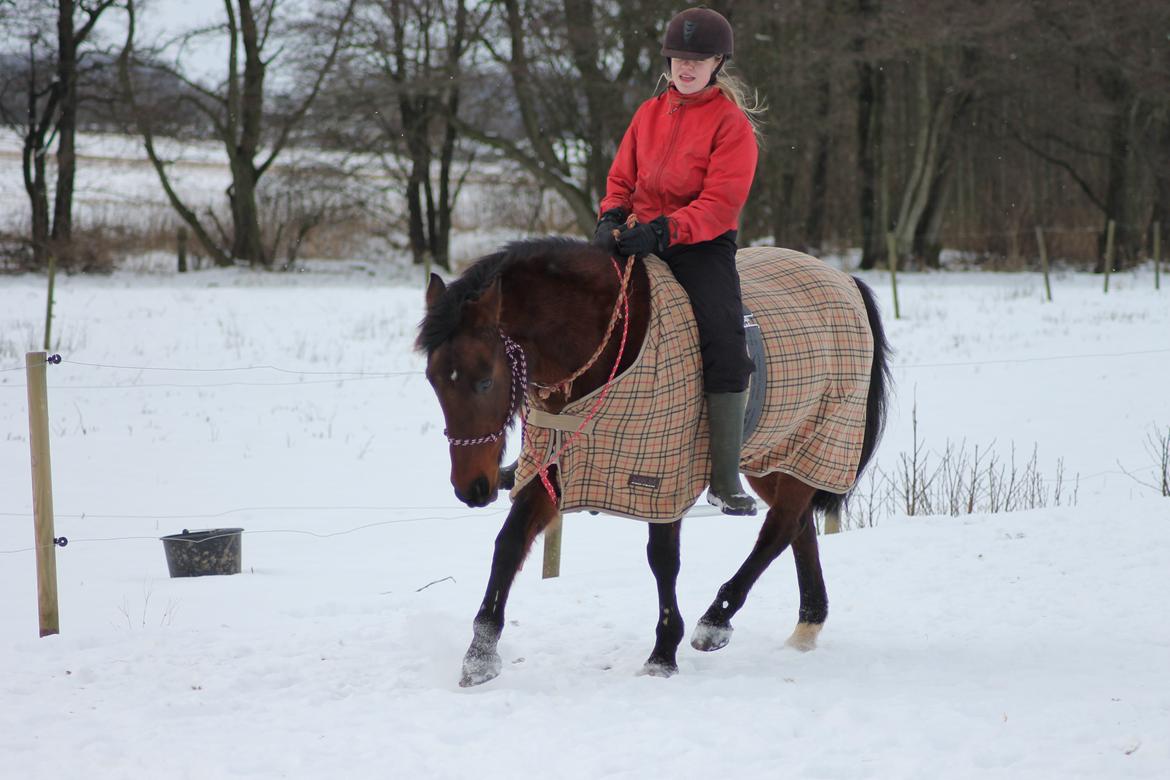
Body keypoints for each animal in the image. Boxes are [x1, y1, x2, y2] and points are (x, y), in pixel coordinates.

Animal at [416, 239, 889, 687]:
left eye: (484, 381)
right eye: (433, 380)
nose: (472, 487)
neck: (606, 345)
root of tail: (845, 281)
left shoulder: (662, 473)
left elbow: (663, 558)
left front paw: (663, 653)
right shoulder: (558, 464)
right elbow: (508, 544)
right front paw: (480, 655)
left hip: (818, 439)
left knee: (779, 529)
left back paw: (716, 621)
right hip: (776, 454)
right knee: (798, 525)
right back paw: (807, 625)